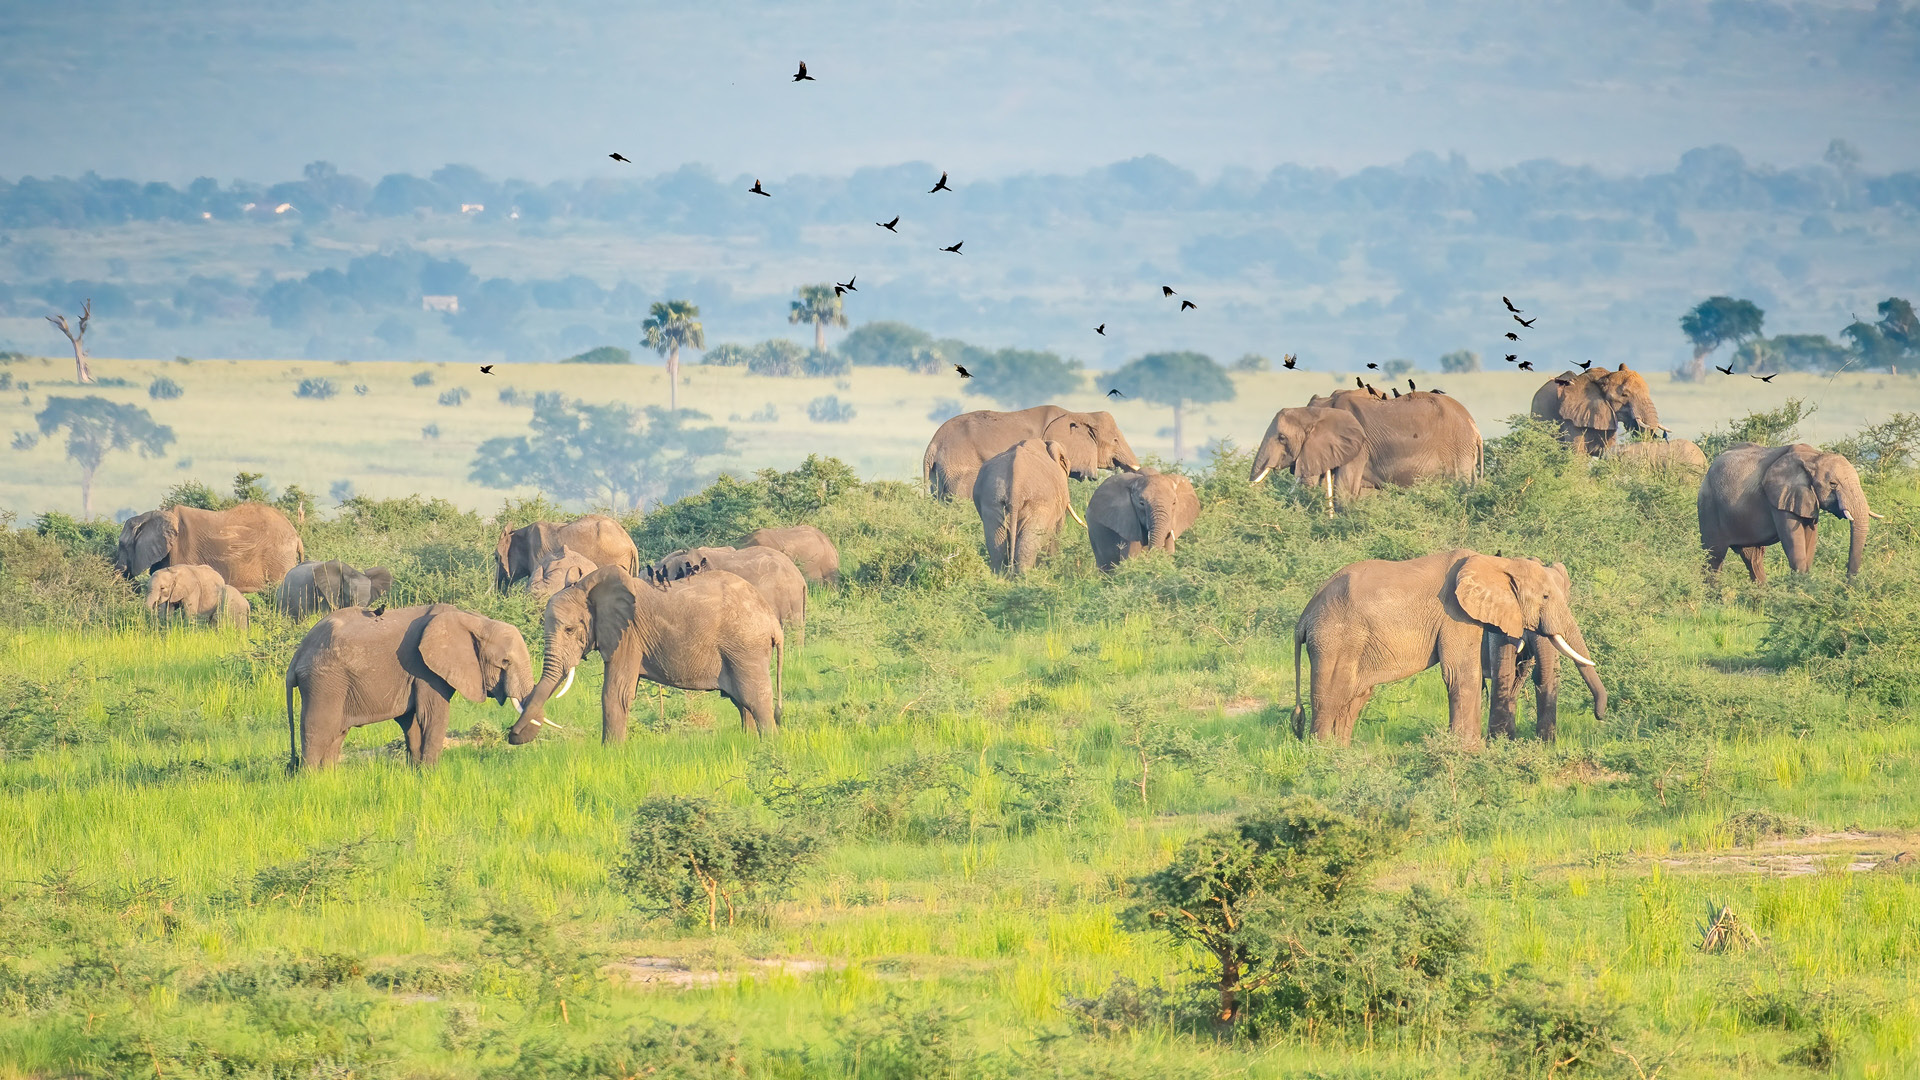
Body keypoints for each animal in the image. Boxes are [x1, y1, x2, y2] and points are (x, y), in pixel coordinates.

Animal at [285, 604, 533, 769]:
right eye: (505, 662)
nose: (512, 734)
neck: (473, 618)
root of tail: (297, 656)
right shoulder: (425, 670)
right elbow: (433, 716)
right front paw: (430, 774)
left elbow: (412, 721)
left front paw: (418, 772)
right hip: (323, 682)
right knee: (318, 729)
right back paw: (310, 780)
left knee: (336, 734)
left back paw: (328, 778)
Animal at [509, 565, 784, 741]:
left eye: (569, 629)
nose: (512, 735)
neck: (590, 587)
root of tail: (772, 620)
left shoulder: (628, 635)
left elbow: (615, 694)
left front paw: (611, 753)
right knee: (742, 702)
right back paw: (750, 743)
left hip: (746, 647)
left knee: (755, 699)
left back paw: (770, 745)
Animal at [1291, 549, 1604, 746]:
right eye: (1545, 596)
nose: (1600, 716)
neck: (1498, 564)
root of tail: (1304, 615)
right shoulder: (1456, 613)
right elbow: (1463, 675)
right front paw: (1471, 750)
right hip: (1334, 637)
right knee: (1333, 691)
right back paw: (1323, 755)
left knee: (1356, 695)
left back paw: (1342, 752)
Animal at [1698, 443, 1876, 583]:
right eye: (1833, 484)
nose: (1847, 583)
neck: (1814, 456)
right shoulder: (1780, 499)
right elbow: (1795, 546)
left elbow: (1810, 542)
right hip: (1708, 507)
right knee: (1714, 557)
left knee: (1753, 559)